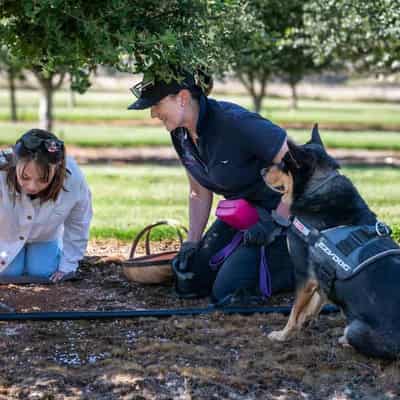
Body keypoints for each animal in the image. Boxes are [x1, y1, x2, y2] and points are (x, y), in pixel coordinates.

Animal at [262, 126, 400, 360]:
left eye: (283, 164)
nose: (261, 170)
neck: (318, 186)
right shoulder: (319, 275)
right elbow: (315, 302)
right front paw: (305, 322)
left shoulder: (304, 273)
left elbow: (294, 311)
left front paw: (283, 335)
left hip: (354, 328)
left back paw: (344, 341)